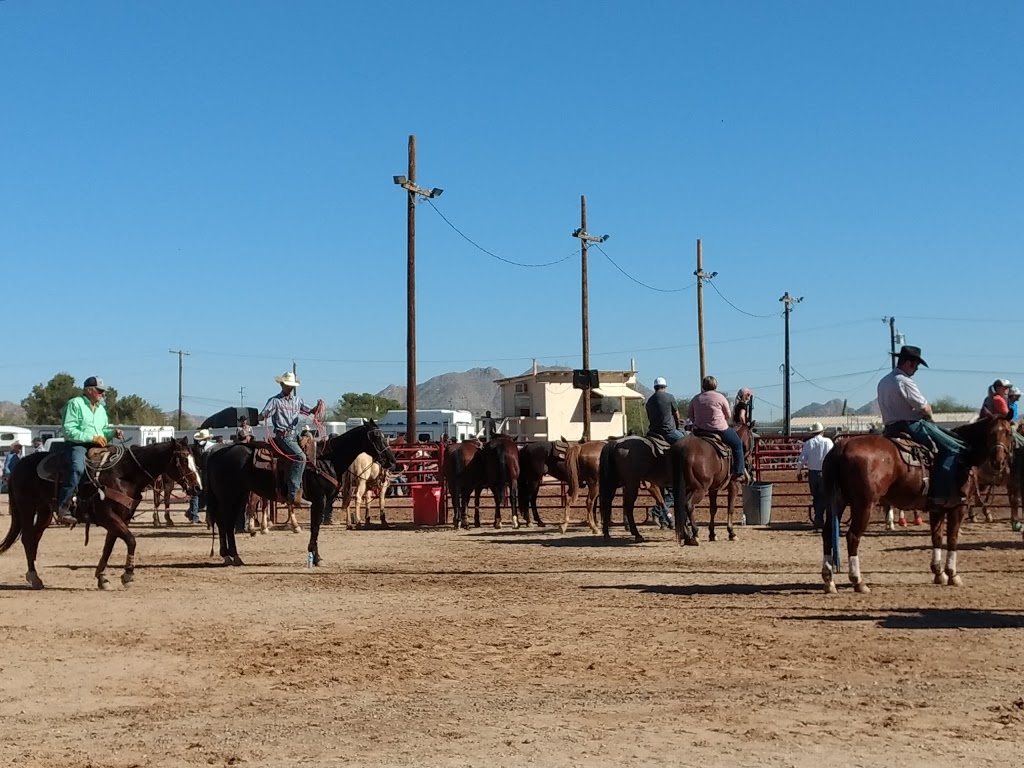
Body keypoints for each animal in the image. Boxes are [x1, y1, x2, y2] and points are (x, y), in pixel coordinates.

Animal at [0, 436, 201, 593]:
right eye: (183, 460)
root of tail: (19, 465)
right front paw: (128, 575)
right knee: (27, 538)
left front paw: (102, 578)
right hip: (27, 508)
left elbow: (108, 547)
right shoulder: (107, 516)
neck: (124, 475)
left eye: (193, 459)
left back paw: (34, 576)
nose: (198, 487)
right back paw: (34, 577)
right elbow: (131, 540)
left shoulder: (121, 518)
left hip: (45, 512)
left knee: (34, 538)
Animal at [201, 421, 393, 565]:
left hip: (238, 495)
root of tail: (217, 452)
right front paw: (316, 557)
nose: (391, 460)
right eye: (376, 436)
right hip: (228, 496)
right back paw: (230, 555)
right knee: (224, 522)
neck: (326, 459)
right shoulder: (320, 500)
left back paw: (233, 556)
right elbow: (315, 527)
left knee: (227, 523)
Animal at [819, 415, 1011, 593]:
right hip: (864, 504)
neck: (964, 456)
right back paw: (858, 581)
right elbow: (952, 538)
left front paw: (938, 573)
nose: (999, 461)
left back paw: (829, 581)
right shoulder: (958, 506)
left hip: (837, 501)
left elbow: (937, 537)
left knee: (827, 533)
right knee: (853, 537)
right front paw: (953, 575)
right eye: (992, 433)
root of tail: (842, 446)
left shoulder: (937, 508)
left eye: (1008, 432)